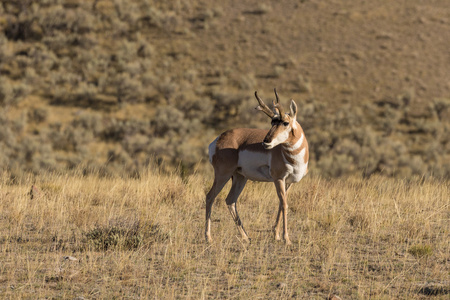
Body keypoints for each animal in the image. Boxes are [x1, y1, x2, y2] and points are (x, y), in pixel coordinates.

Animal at [205, 88, 308, 244]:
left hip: (240, 177)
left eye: (285, 122)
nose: (266, 142)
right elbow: (284, 205)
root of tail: (218, 139)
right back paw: (208, 237)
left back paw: (245, 236)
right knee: (210, 197)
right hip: (223, 175)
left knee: (230, 200)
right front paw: (286, 239)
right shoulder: (278, 179)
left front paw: (276, 235)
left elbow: (281, 204)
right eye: (272, 122)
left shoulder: (289, 182)